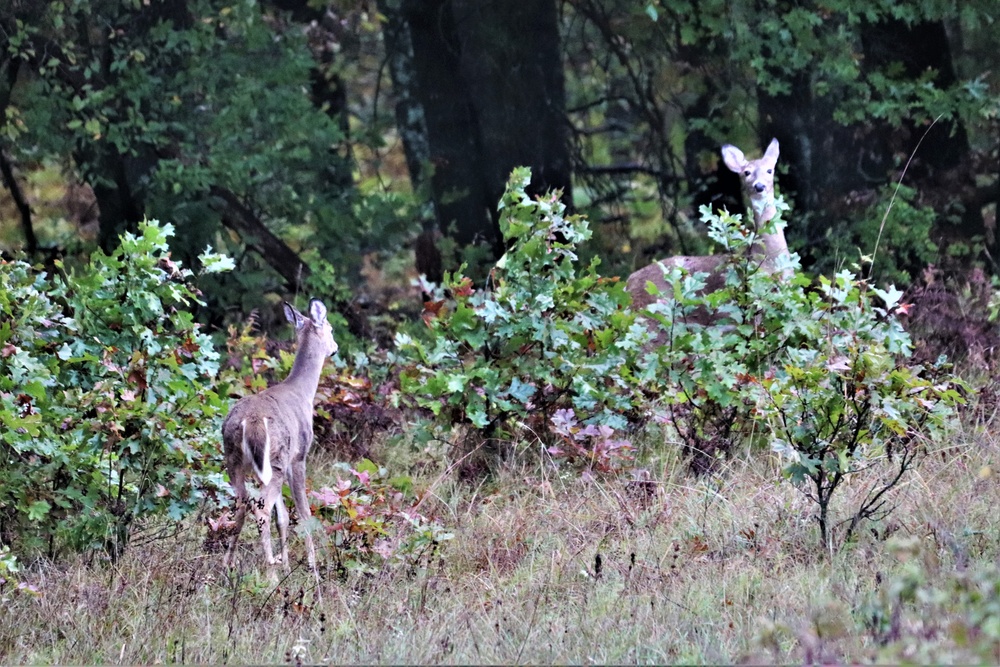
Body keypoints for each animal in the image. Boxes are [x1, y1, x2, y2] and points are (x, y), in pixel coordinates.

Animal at [223, 300, 340, 580]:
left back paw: (227, 565)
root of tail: (250, 422)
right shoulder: (298, 457)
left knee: (242, 504)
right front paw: (312, 568)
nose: (335, 348)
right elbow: (304, 513)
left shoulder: (284, 463)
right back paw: (270, 571)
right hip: (274, 458)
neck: (303, 392)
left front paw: (287, 564)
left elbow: (283, 517)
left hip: (233, 459)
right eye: (330, 328)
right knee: (261, 507)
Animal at [624, 138, 788, 332]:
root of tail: (628, 284)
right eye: (747, 172)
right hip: (652, 312)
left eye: (770, 170)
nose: (759, 186)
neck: (769, 257)